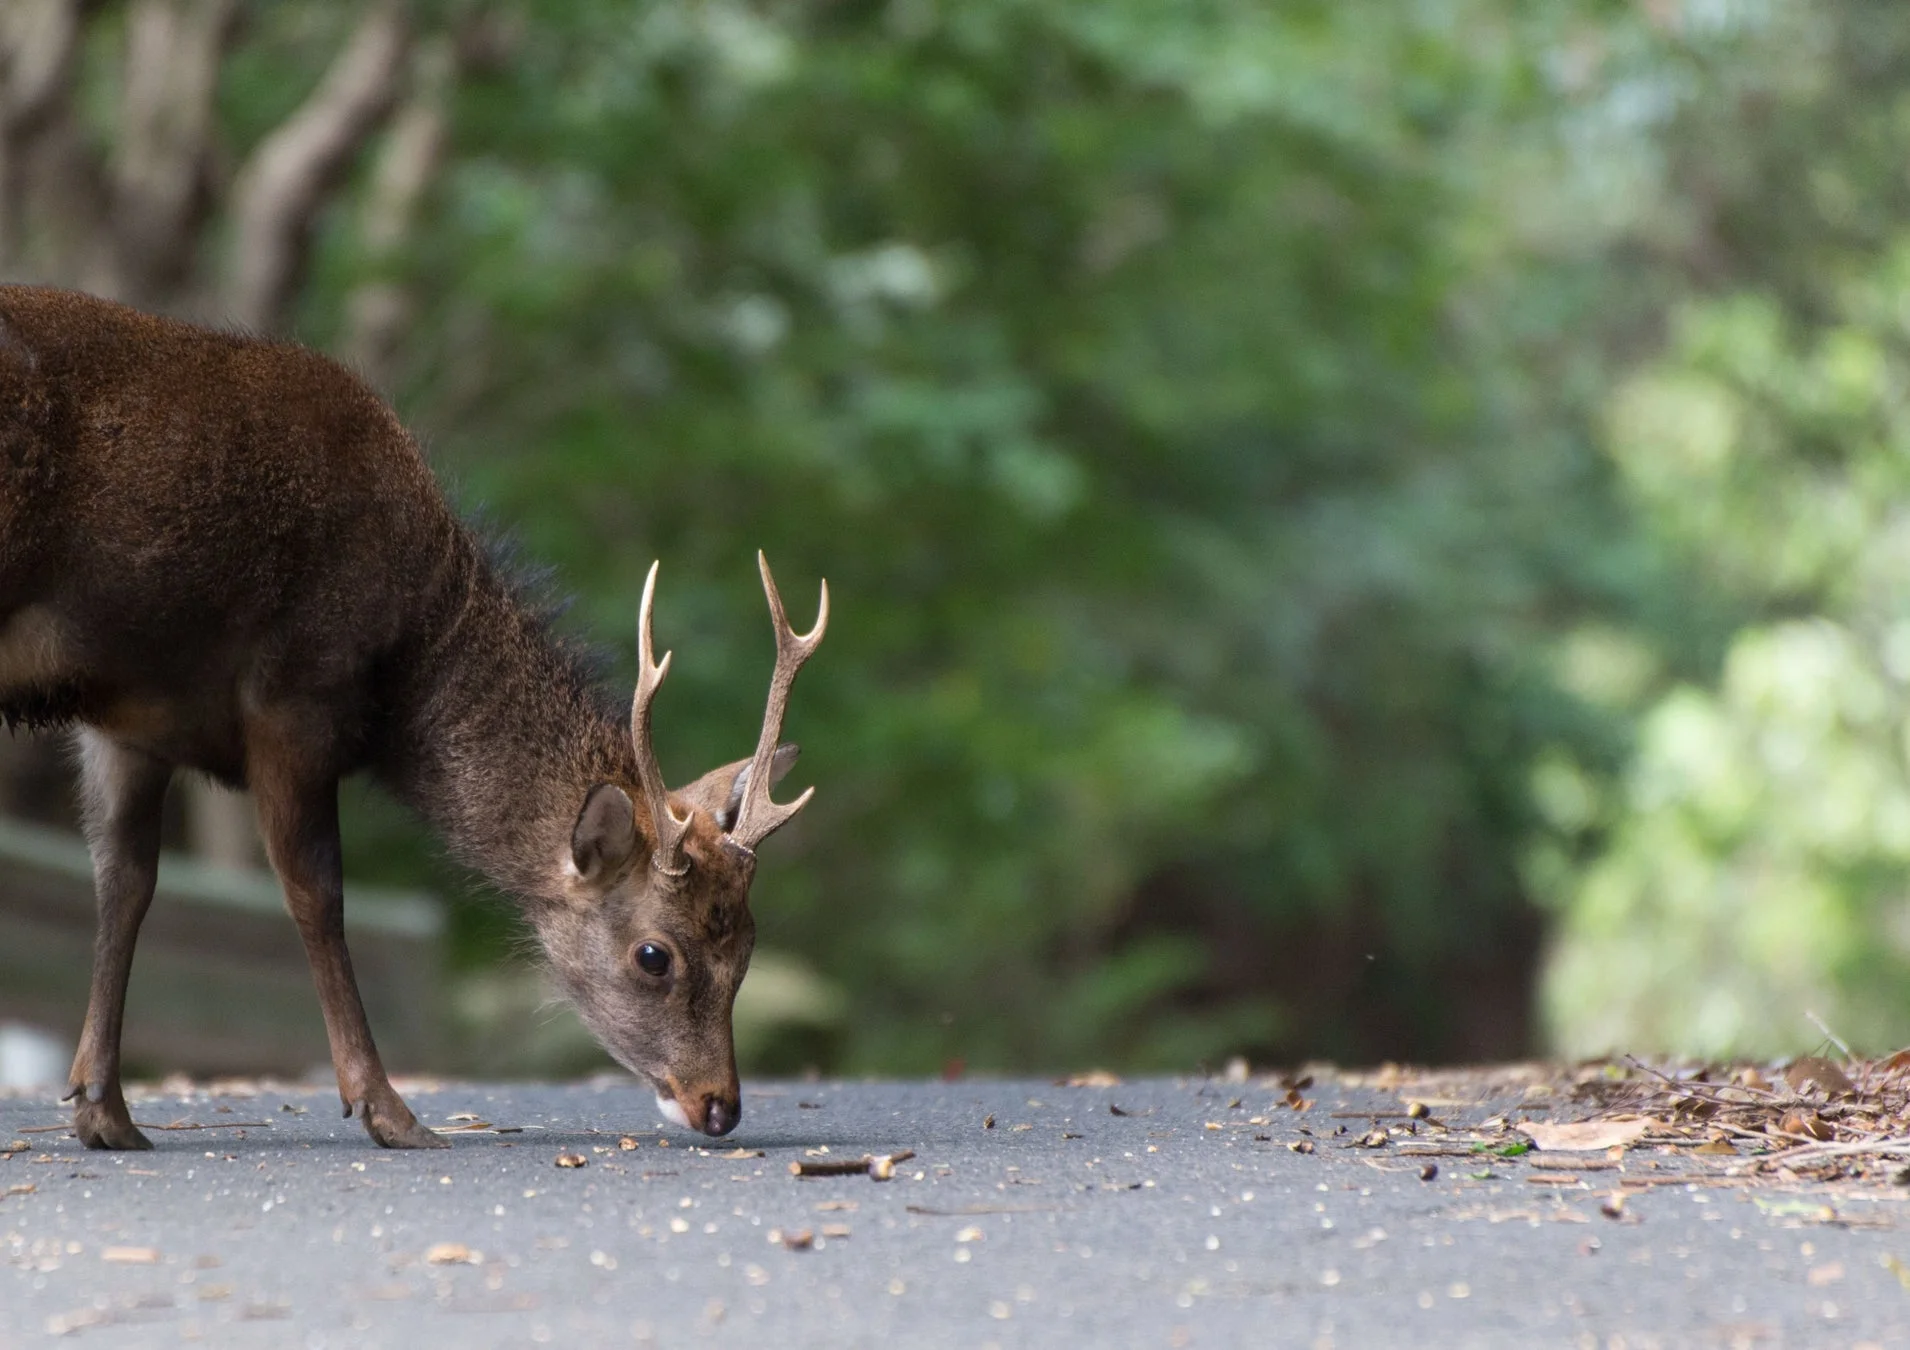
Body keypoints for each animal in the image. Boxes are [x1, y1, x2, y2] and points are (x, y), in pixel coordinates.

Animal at [0, 285, 826, 1149]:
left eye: (748, 943)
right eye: (654, 955)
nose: (720, 1105)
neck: (404, 673)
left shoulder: (130, 721)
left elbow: (122, 883)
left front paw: (102, 1110)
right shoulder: (296, 694)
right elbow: (316, 893)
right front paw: (387, 1109)